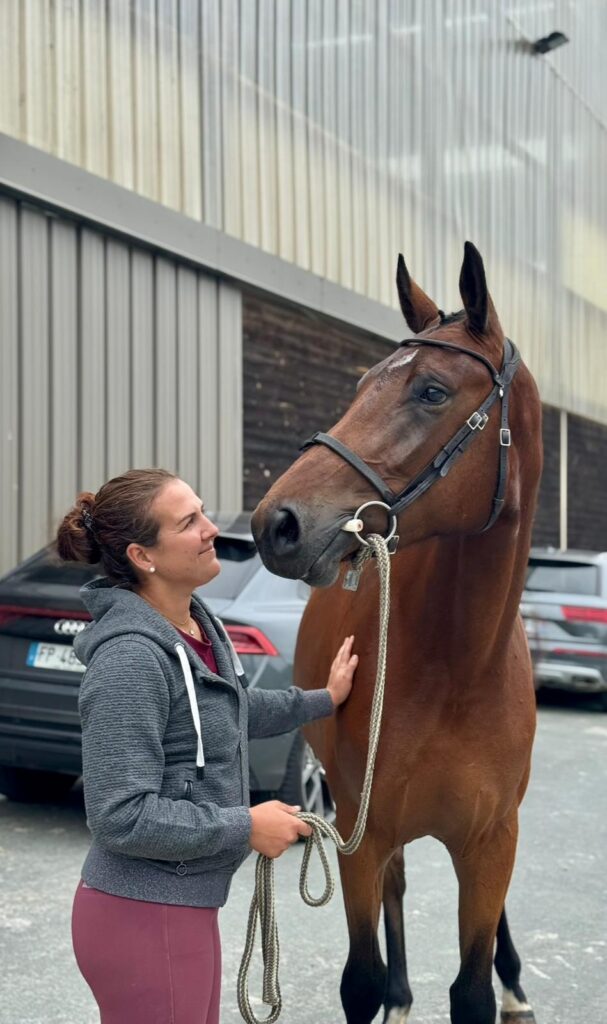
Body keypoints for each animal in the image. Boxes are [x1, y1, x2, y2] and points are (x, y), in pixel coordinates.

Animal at [251, 242, 541, 1024]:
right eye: (360, 386)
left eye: (432, 392)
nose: (276, 523)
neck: (458, 668)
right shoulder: (359, 828)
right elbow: (361, 977)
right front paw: (390, 991)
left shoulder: (492, 842)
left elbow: (472, 989)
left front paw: (500, 983)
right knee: (397, 887)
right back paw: (404, 994)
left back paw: (514, 984)